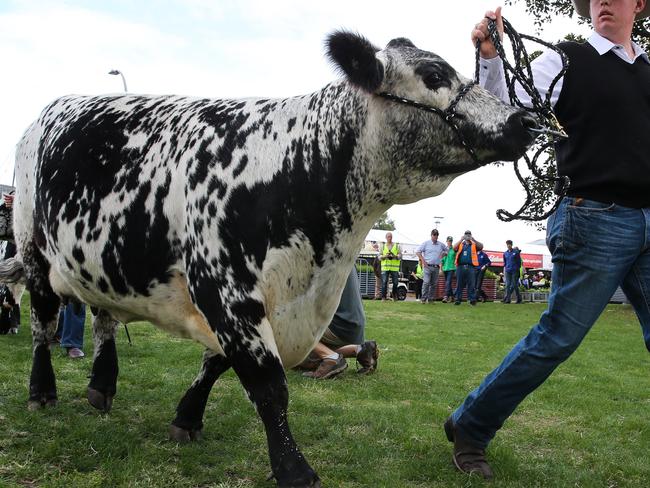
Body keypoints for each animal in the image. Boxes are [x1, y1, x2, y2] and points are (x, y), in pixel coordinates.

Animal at [11, 32, 536, 486]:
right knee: (41, 322)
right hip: (31, 247)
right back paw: (42, 392)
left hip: (97, 259)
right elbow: (268, 384)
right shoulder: (224, 287)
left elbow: (216, 364)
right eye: (433, 74)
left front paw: (187, 417)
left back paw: (102, 387)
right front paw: (294, 469)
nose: (523, 121)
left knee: (102, 318)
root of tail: (50, 110)